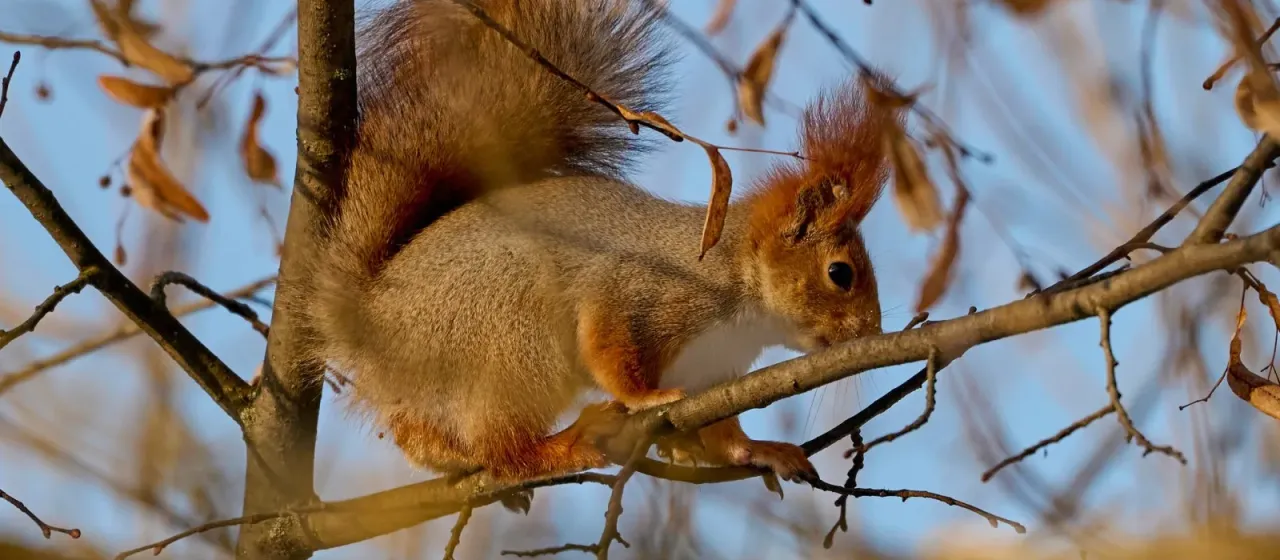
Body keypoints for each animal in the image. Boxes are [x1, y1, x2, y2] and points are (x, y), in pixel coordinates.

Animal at [296, 0, 903, 484]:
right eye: (840, 274)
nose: (873, 333)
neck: (737, 286)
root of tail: (367, 320)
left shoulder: (713, 372)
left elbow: (723, 431)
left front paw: (759, 450)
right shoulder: (633, 290)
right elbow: (608, 345)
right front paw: (646, 398)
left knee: (418, 432)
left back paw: (447, 454)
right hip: (514, 342)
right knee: (503, 452)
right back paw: (561, 448)